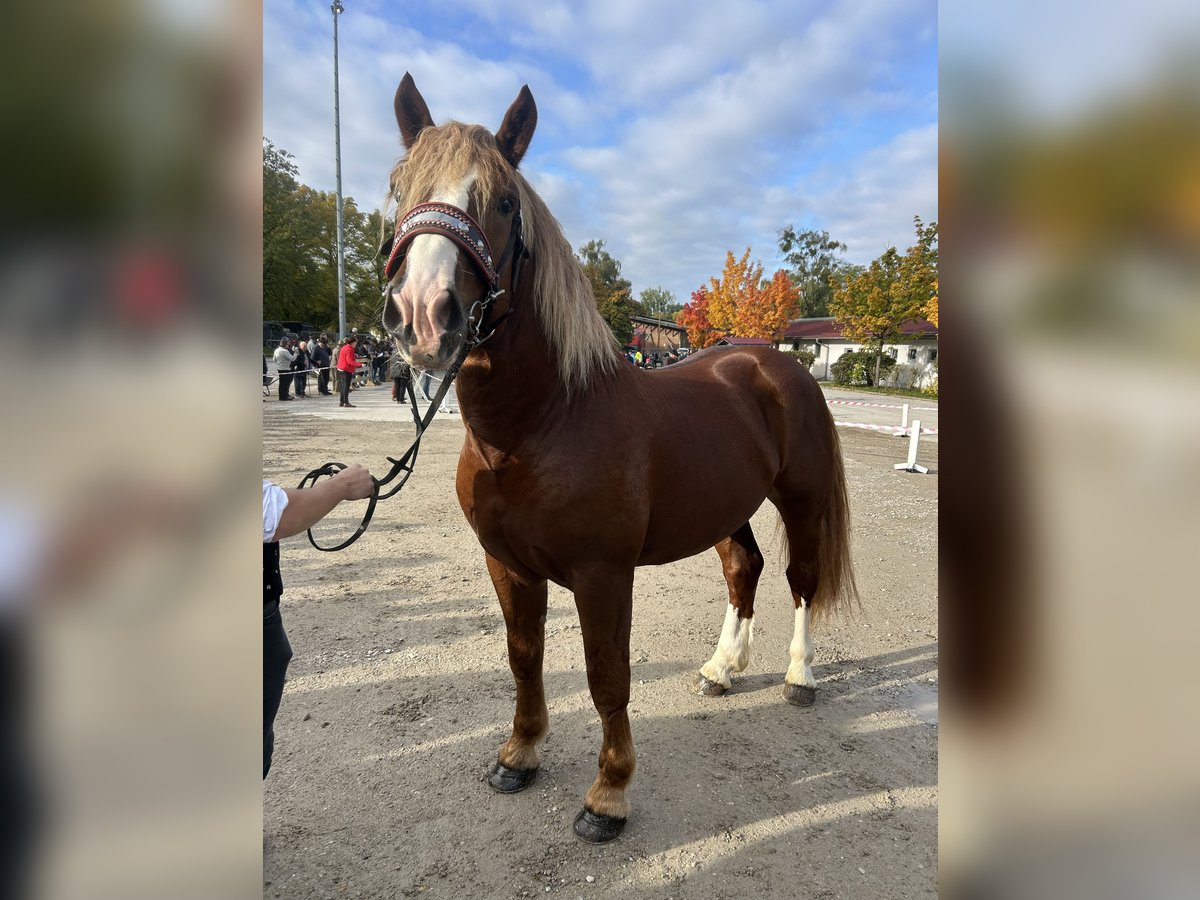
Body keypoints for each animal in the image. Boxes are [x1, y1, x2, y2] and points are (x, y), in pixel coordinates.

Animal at [380, 74, 858, 843]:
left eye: (505, 201)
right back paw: (722, 668)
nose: (423, 314)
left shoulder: (603, 574)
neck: (540, 424)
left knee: (801, 581)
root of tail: (774, 362)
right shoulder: (507, 564)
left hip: (803, 501)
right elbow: (525, 658)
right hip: (728, 506)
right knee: (743, 569)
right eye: (398, 189)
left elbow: (607, 675)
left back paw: (798, 678)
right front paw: (519, 755)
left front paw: (608, 795)